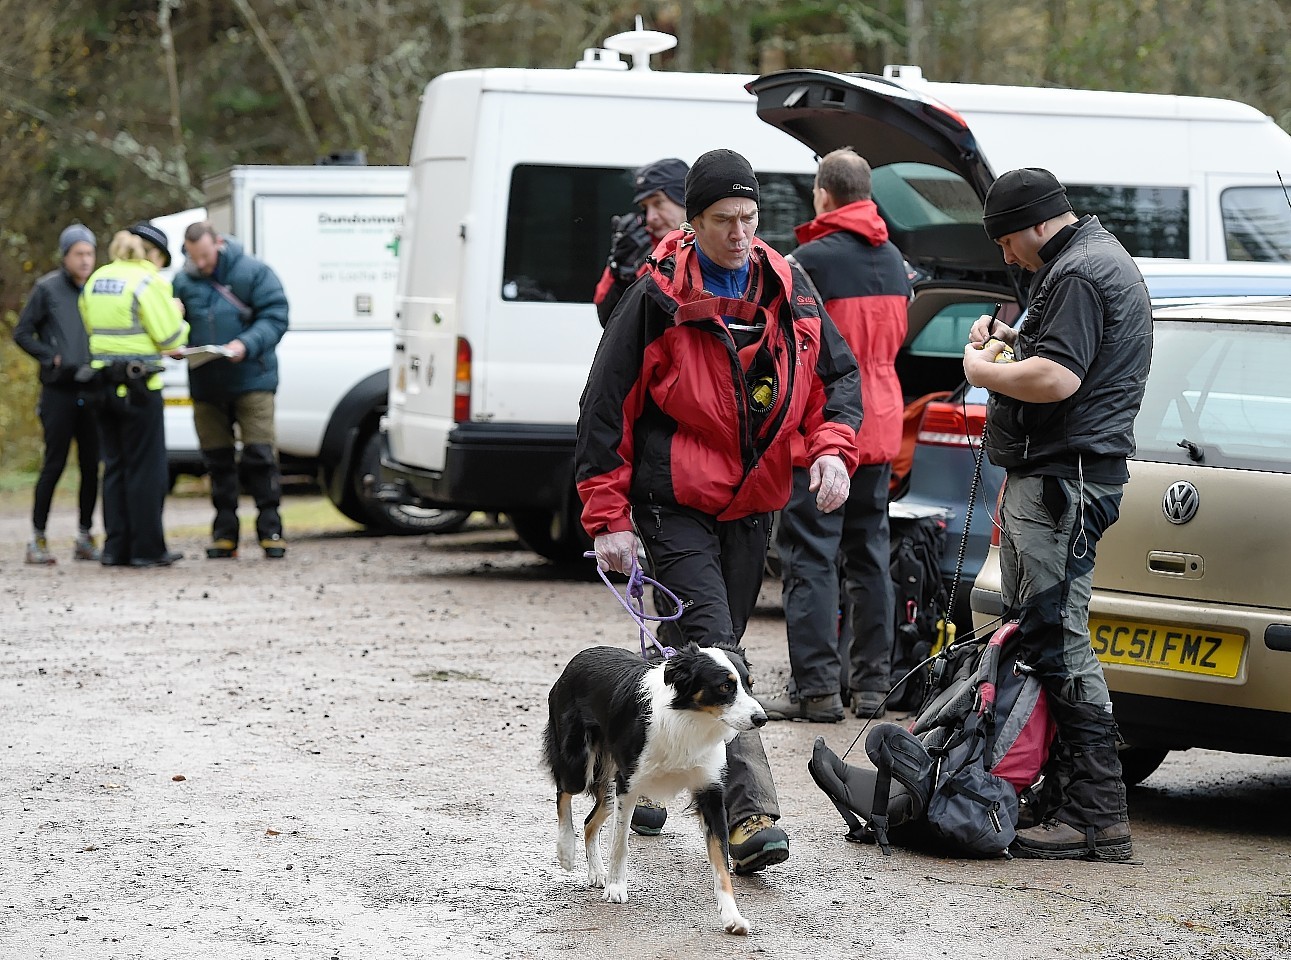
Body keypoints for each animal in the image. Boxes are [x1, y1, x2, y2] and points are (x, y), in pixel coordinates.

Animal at [537, 640, 759, 934]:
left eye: (750, 684)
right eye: (724, 686)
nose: (761, 718)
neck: (690, 719)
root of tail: (583, 654)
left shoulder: (710, 792)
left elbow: (721, 863)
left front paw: (732, 916)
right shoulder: (629, 785)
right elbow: (620, 842)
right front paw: (616, 887)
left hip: (610, 787)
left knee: (589, 822)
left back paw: (596, 871)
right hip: (579, 765)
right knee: (563, 793)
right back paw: (566, 851)